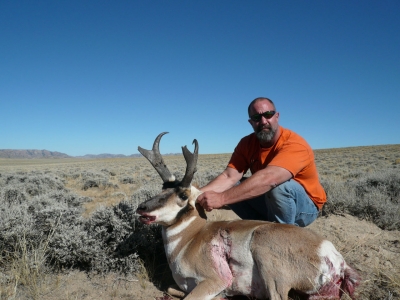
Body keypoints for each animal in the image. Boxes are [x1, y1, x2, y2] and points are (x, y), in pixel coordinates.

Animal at [136, 134, 360, 300]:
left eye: (183, 195)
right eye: (162, 188)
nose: (141, 208)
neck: (190, 238)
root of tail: (332, 253)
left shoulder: (213, 281)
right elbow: (171, 289)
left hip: (265, 257)